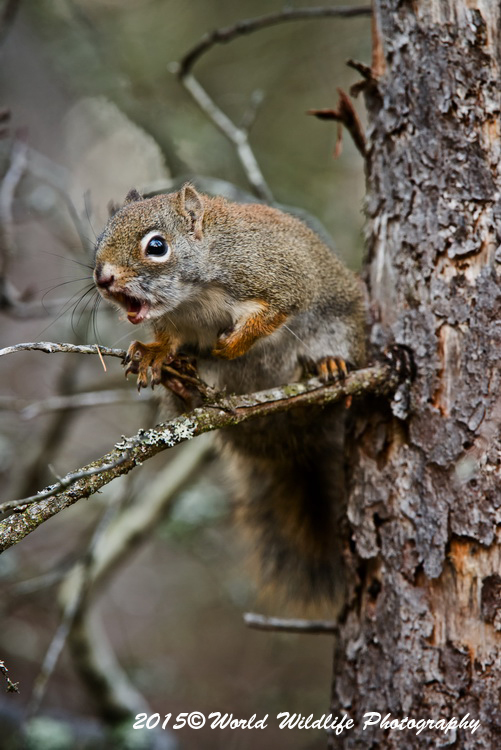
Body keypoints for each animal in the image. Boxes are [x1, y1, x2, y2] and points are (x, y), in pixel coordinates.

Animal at [93, 184, 366, 603]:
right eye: (101, 237)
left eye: (156, 246)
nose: (102, 277)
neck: (193, 297)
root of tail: (287, 438)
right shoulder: (176, 323)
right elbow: (169, 341)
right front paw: (153, 354)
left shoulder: (278, 278)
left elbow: (274, 313)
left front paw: (234, 343)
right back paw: (182, 384)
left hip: (338, 327)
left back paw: (328, 366)